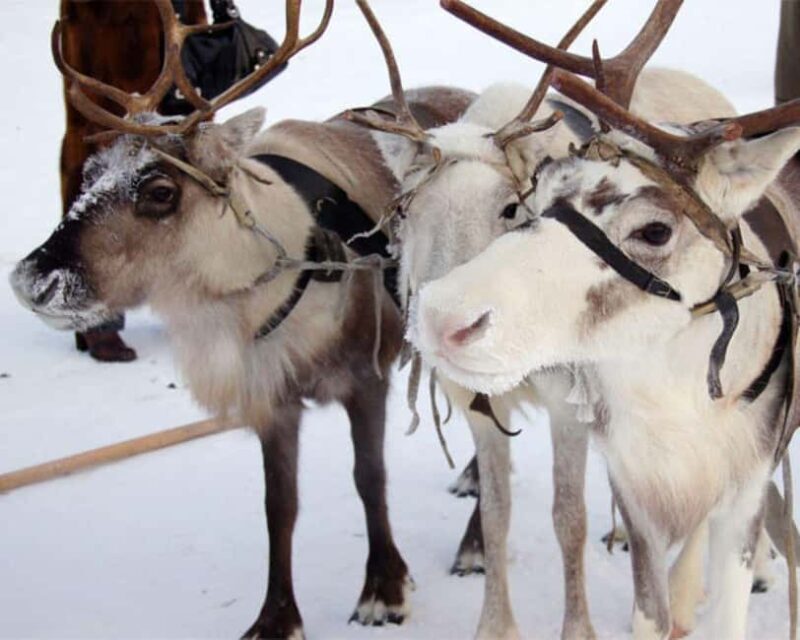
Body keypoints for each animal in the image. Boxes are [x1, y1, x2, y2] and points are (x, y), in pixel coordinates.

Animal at [9, 1, 477, 637]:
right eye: (89, 172)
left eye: (160, 190)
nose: (33, 278)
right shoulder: (270, 397)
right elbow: (278, 506)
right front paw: (276, 617)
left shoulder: (366, 376)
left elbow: (369, 478)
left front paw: (384, 586)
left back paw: (476, 543)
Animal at [347, 0, 782, 638]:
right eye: (406, 212)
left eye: (511, 208)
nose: (437, 325)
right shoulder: (482, 408)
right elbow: (497, 513)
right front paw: (494, 623)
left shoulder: (572, 403)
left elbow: (568, 517)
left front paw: (578, 626)